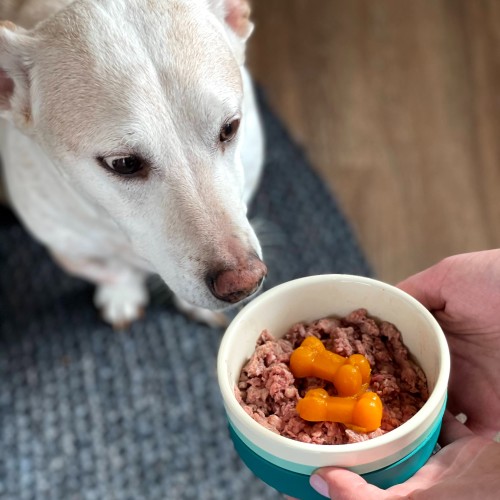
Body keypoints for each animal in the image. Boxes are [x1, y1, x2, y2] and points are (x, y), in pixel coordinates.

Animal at [0, 0, 268, 326]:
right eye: (123, 163)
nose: (245, 282)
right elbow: (115, 270)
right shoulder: (68, 249)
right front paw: (123, 293)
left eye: (230, 128)